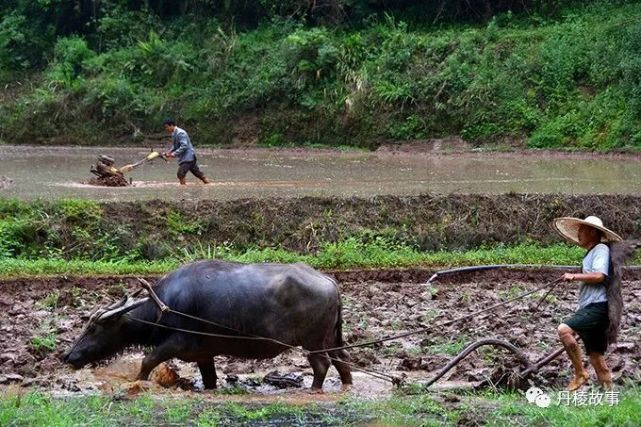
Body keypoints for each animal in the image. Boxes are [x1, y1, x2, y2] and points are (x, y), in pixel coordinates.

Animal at [62, 260, 352, 392]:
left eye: (94, 329)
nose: (68, 356)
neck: (165, 306)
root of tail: (329, 281)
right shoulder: (204, 355)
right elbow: (210, 379)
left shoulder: (176, 343)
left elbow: (147, 361)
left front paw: (139, 383)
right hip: (330, 338)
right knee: (342, 359)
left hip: (312, 341)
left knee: (322, 364)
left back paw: (314, 389)